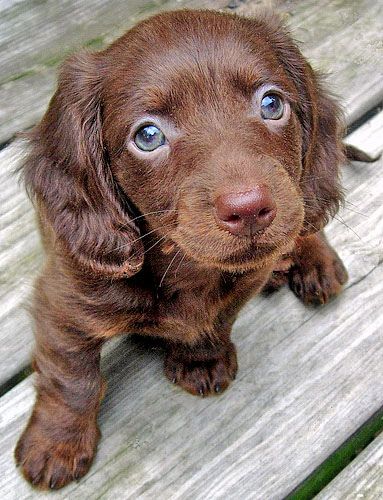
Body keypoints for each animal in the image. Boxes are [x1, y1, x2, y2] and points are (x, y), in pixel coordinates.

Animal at [16, 9, 350, 490]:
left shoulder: (243, 281)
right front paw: (55, 443)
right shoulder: (62, 305)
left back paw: (314, 261)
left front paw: (199, 361)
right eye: (148, 136)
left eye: (271, 104)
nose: (249, 208)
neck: (185, 264)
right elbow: (71, 378)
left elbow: (216, 320)